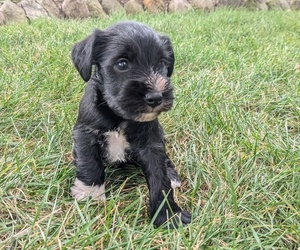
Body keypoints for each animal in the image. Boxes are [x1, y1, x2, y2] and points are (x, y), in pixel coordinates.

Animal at [71, 22, 190, 229]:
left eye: (162, 62)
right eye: (122, 64)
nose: (156, 97)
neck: (119, 115)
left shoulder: (151, 142)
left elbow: (159, 176)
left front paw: (168, 215)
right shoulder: (85, 133)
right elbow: (89, 162)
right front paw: (90, 193)